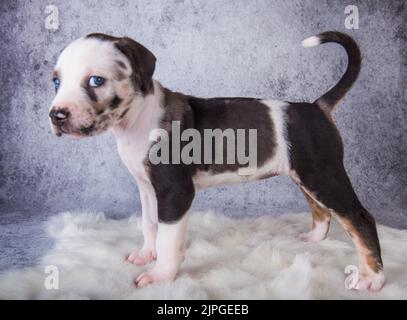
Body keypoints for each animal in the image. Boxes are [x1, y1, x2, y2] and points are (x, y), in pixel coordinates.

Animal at [48, 31, 386, 290]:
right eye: (56, 82)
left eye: (96, 81)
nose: (57, 115)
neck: (139, 118)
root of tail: (317, 107)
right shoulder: (146, 188)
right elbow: (149, 224)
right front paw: (147, 254)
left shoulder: (175, 193)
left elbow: (169, 238)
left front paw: (161, 275)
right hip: (305, 175)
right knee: (321, 210)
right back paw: (314, 238)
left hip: (323, 175)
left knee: (359, 218)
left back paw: (373, 278)